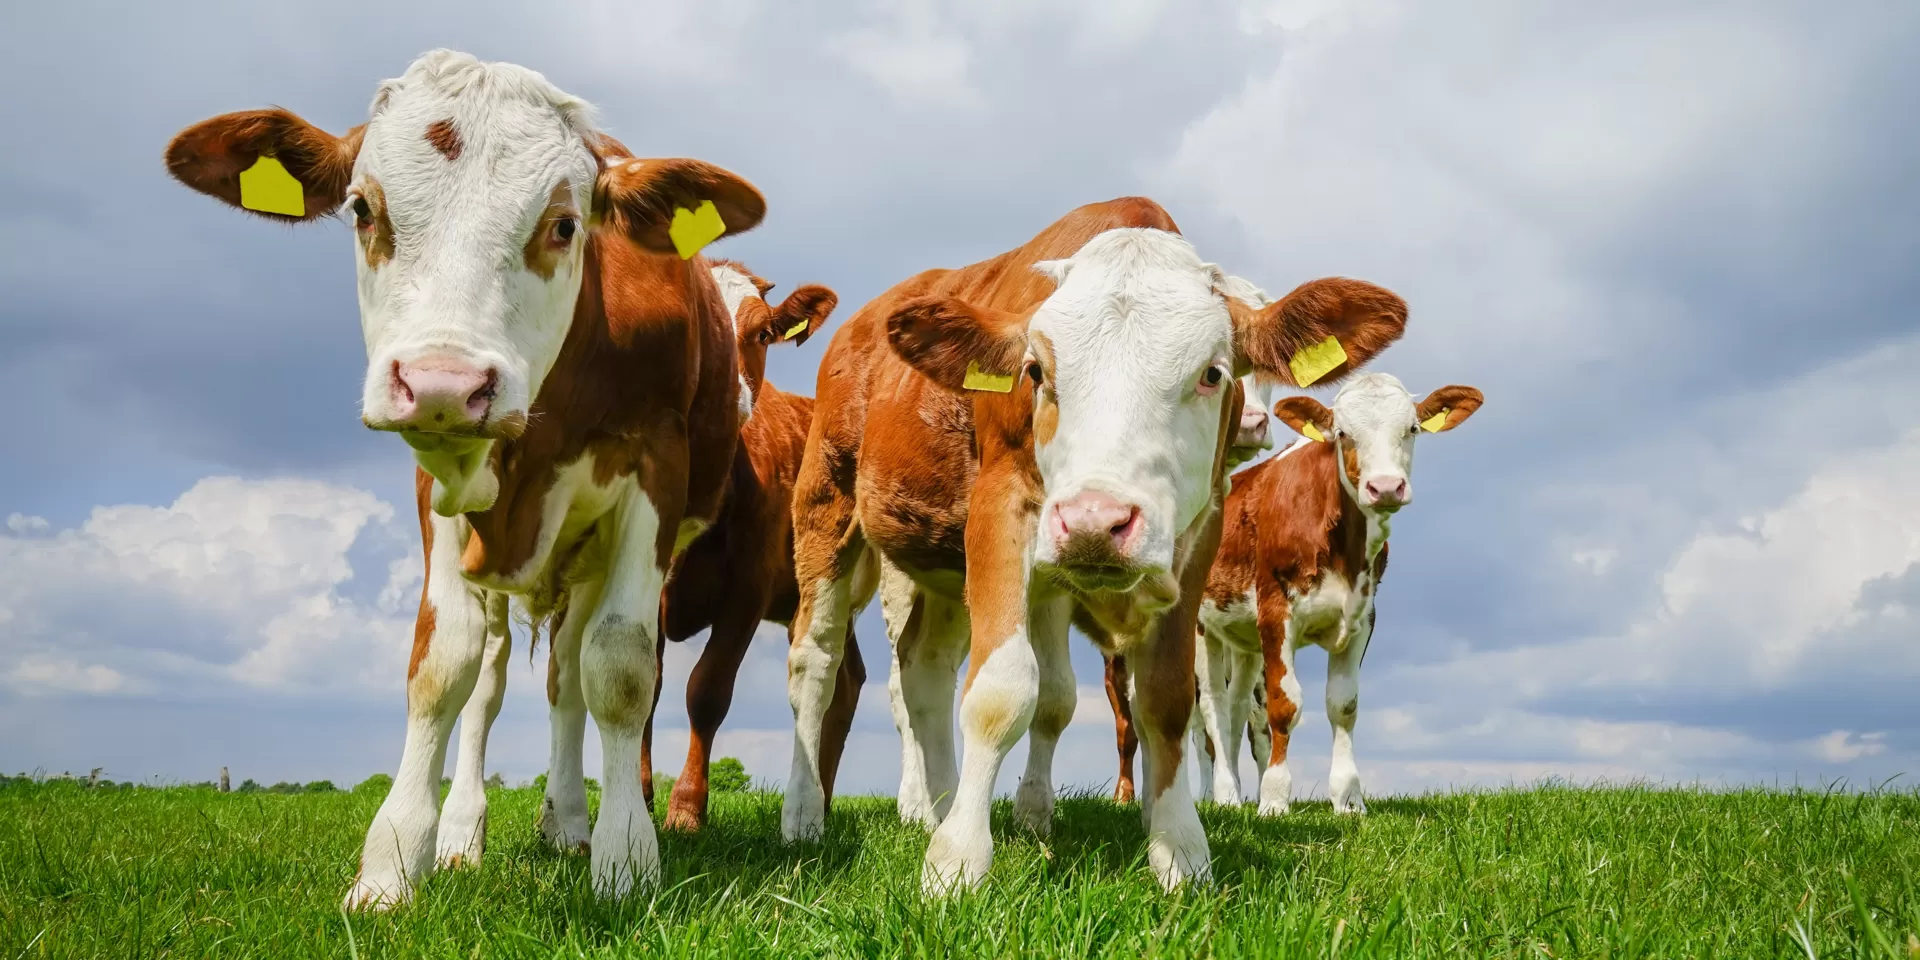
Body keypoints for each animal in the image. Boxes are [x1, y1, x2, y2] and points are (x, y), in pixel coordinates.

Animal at [164, 50, 768, 907]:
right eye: (362, 209)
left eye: (564, 224)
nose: (443, 383)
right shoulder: (437, 489)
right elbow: (444, 665)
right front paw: (393, 862)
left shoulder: (656, 470)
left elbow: (618, 670)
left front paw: (625, 860)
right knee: (493, 677)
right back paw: (464, 834)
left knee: (569, 675)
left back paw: (569, 821)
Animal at [781, 196, 1408, 893]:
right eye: (1035, 371)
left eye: (1213, 374)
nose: (1092, 521)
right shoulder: (999, 509)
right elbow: (1002, 691)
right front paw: (957, 862)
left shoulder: (1198, 537)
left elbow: (1162, 700)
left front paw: (1179, 850)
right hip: (828, 510)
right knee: (817, 663)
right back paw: (808, 816)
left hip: (942, 566)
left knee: (925, 669)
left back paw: (938, 807)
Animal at [1110, 373, 1483, 814]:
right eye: (1343, 434)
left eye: (1411, 429)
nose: (1386, 487)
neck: (1343, 546)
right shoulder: (1275, 613)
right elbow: (1283, 706)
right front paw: (1274, 800)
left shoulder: (1363, 618)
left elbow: (1343, 705)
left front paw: (1348, 799)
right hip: (1202, 630)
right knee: (1213, 708)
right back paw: (1226, 794)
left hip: (1244, 641)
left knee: (1238, 706)